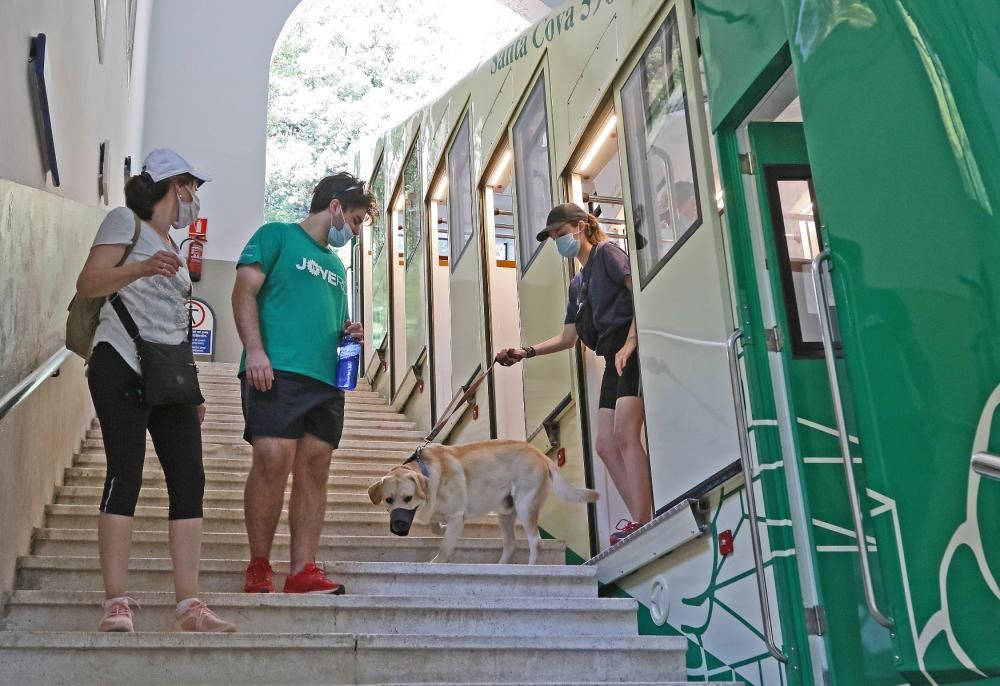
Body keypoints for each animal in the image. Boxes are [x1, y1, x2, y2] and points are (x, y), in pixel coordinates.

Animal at [372, 440, 596, 564]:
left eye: (408, 498)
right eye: (388, 500)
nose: (397, 527)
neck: (427, 471)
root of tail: (540, 454)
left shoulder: (457, 514)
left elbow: (445, 547)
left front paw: (436, 562)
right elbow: (435, 526)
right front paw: (442, 528)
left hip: (525, 506)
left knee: (536, 542)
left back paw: (530, 567)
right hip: (505, 513)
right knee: (510, 544)